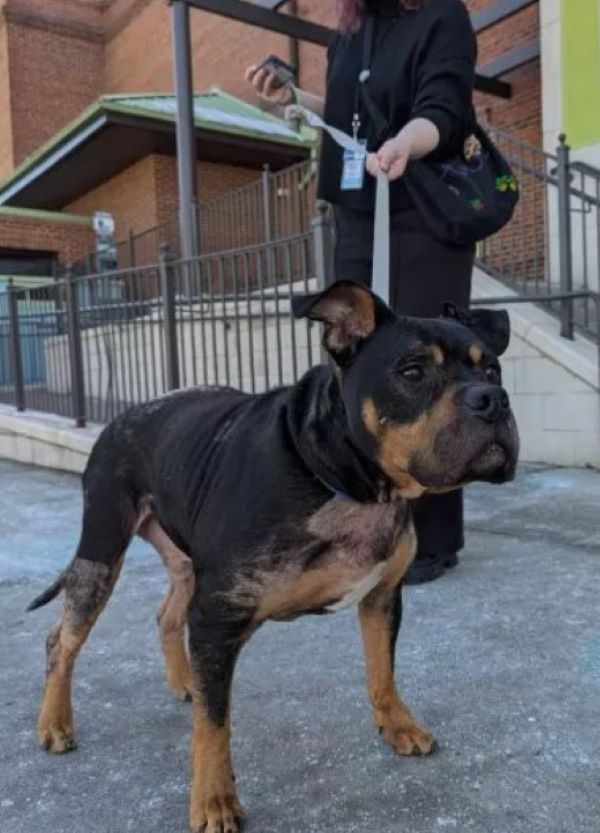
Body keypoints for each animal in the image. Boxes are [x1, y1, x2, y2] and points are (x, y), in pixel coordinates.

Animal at [28, 282, 516, 832]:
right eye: (412, 372)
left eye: (492, 370)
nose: (493, 400)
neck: (344, 479)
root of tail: (123, 416)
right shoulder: (217, 617)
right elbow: (215, 726)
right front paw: (214, 799)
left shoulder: (383, 598)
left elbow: (382, 671)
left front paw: (397, 726)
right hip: (101, 553)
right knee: (62, 640)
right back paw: (55, 723)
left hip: (184, 565)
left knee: (166, 615)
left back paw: (185, 682)